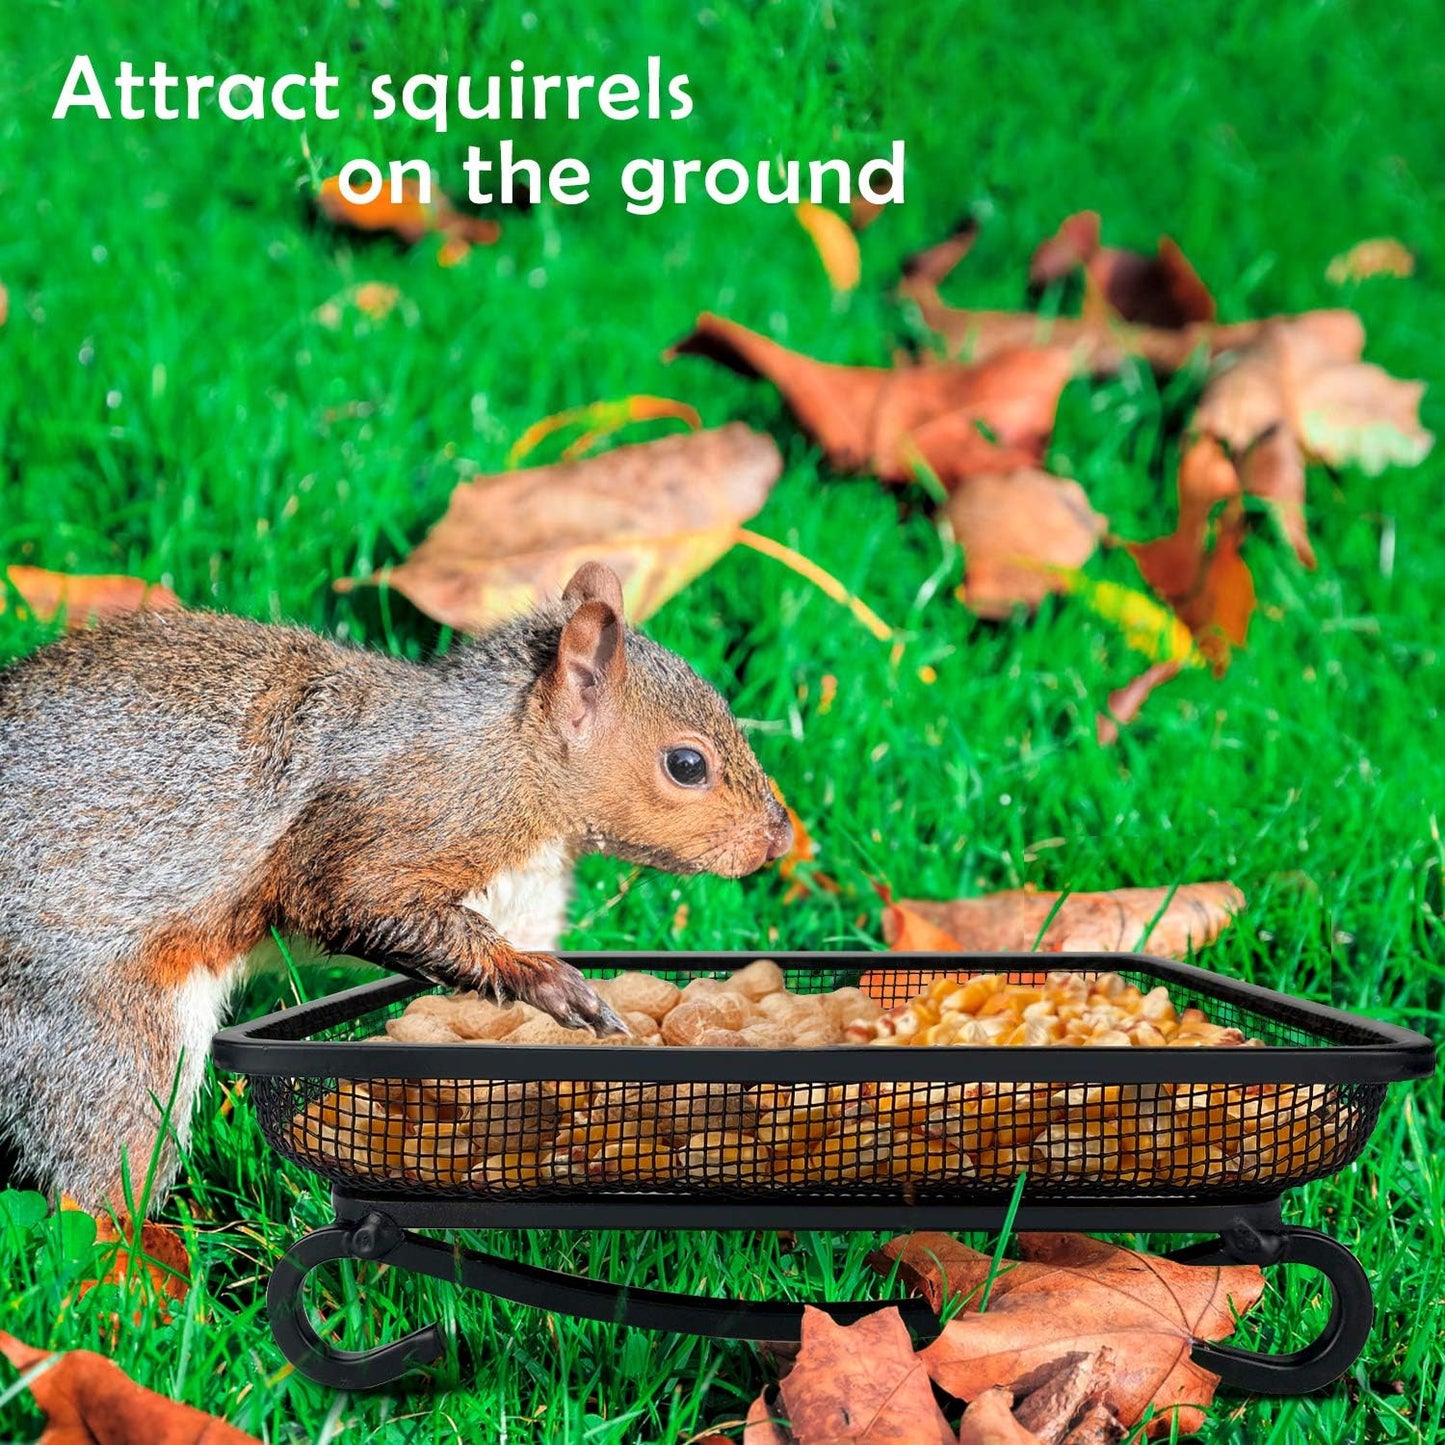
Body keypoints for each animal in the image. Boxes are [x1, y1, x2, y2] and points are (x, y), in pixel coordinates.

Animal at [0, 561, 792, 1208]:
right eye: (686, 765)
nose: (779, 838)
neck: (508, 752)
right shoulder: (407, 813)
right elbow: (348, 893)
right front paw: (537, 978)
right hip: (101, 1032)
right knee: (105, 1160)